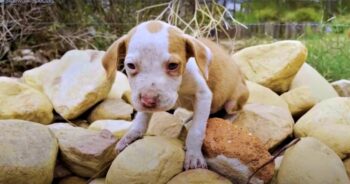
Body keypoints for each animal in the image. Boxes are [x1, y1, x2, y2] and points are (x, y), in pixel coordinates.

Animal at [101, 20, 249, 170]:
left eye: (173, 65)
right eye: (131, 65)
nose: (148, 100)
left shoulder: (203, 95)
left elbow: (196, 130)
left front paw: (194, 155)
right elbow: (141, 118)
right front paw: (131, 135)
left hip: (234, 100)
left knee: (234, 110)